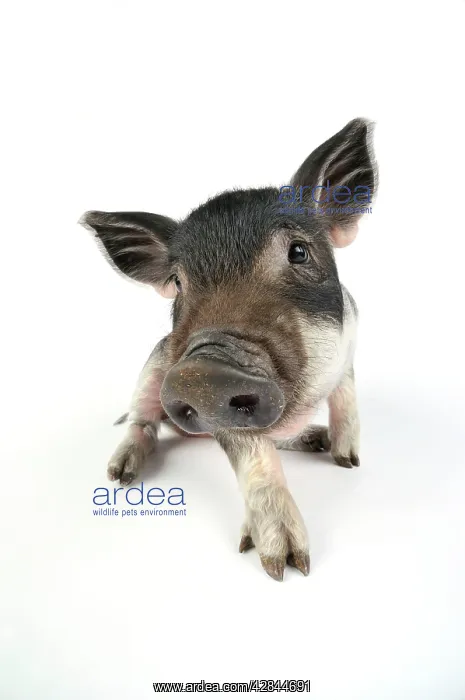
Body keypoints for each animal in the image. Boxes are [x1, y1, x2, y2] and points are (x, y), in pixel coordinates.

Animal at [80, 118, 377, 581]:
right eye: (178, 283)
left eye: (298, 251)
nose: (203, 369)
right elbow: (254, 457)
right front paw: (284, 564)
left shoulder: (352, 340)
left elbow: (346, 396)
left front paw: (347, 461)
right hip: (154, 366)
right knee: (141, 422)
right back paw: (120, 475)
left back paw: (318, 440)